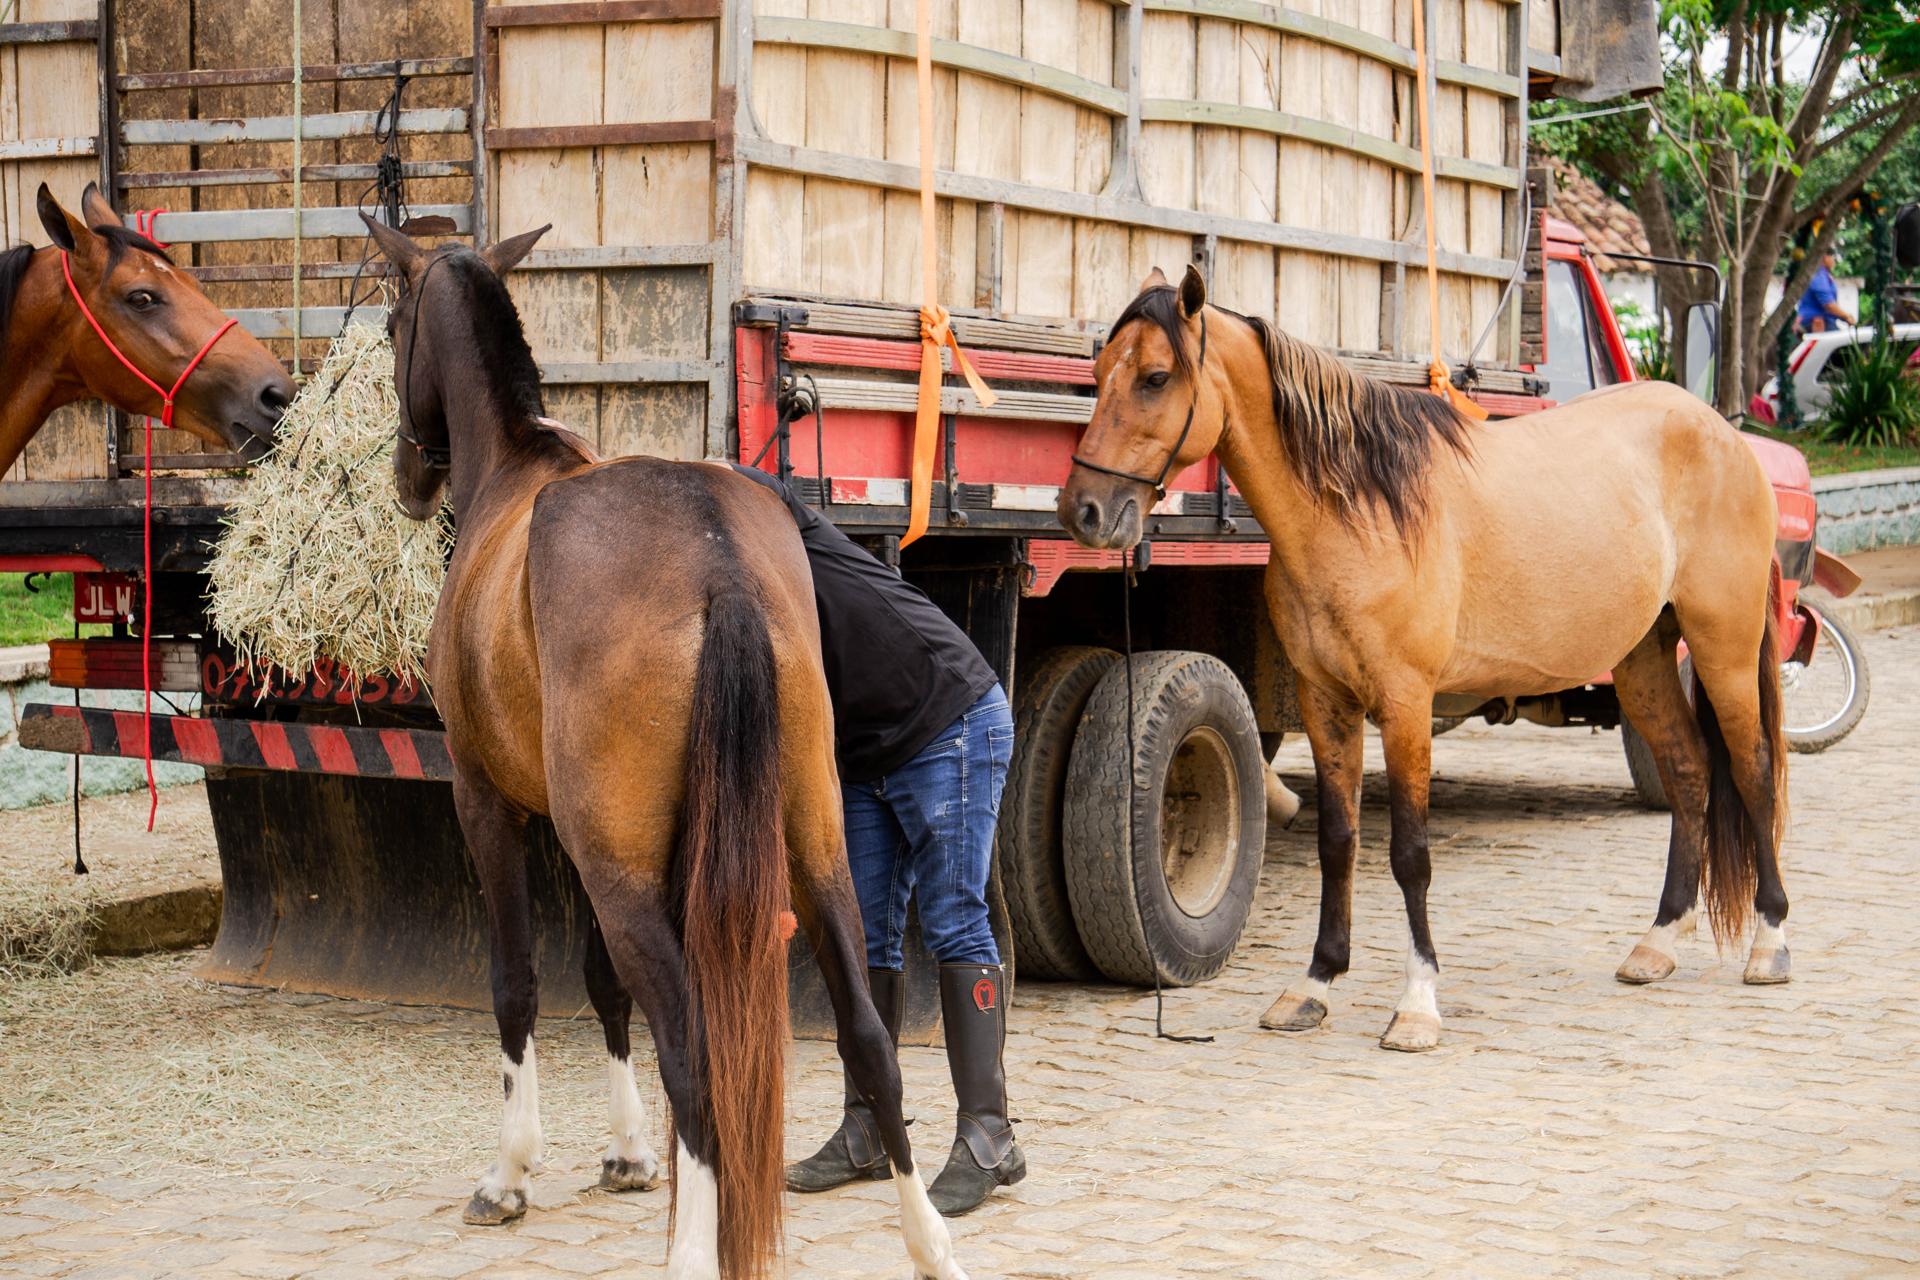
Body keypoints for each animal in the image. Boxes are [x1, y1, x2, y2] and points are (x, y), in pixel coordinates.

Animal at [359, 215, 966, 1280]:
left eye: (395, 324)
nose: (409, 475)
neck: (517, 468)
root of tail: (713, 555)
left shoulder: (489, 802)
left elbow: (519, 983)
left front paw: (510, 1176)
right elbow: (603, 987)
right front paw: (630, 1154)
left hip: (626, 870)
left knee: (696, 1058)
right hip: (813, 845)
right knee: (868, 1039)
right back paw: (928, 1242)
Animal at [1059, 267, 1788, 1053]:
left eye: (1156, 378)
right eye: (1098, 375)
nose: (1084, 511)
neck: (1361, 510)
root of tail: (1725, 434)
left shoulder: (1406, 705)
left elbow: (1409, 854)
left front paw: (1416, 1005)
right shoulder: (1327, 703)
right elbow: (1338, 840)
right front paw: (1315, 984)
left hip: (1721, 648)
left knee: (1752, 772)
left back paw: (1771, 943)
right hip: (1643, 662)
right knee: (1688, 772)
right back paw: (1657, 943)